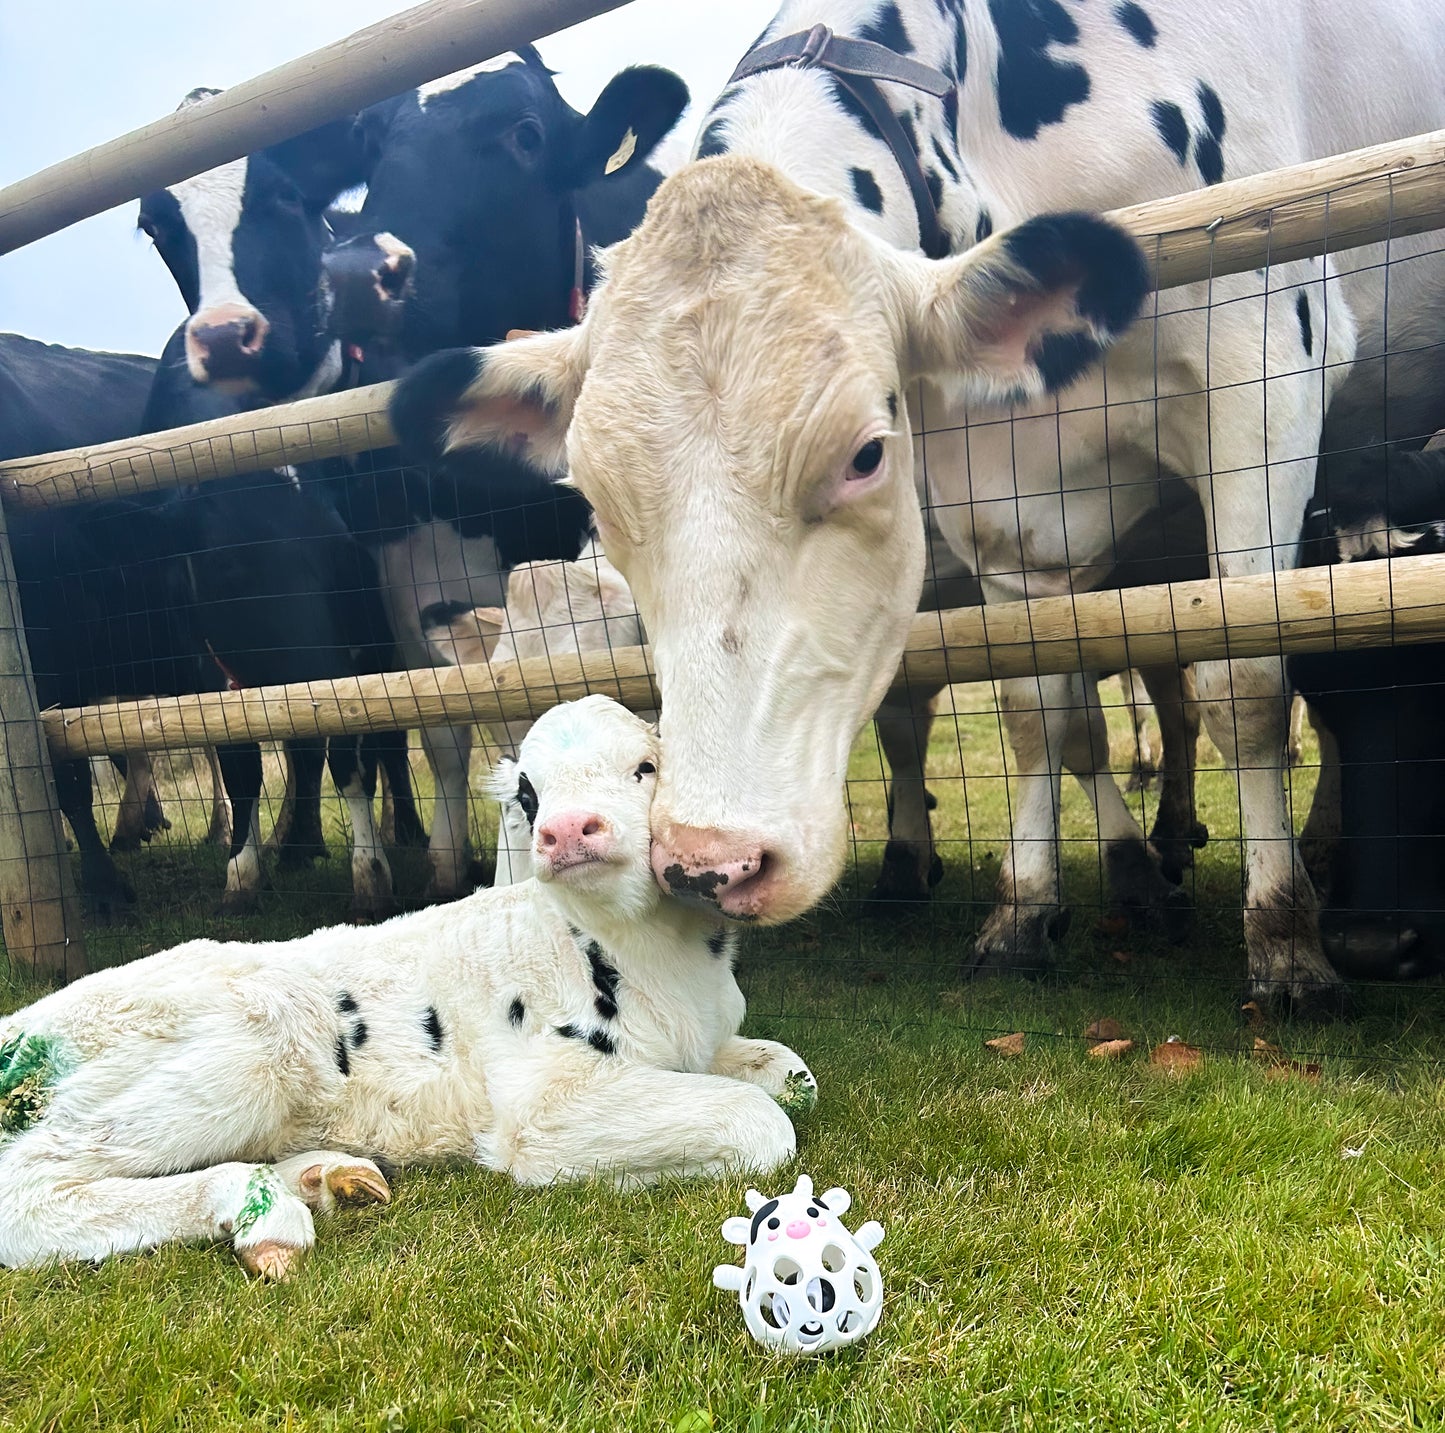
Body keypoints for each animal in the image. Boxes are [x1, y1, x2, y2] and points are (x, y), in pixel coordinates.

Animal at [0, 696, 813, 1278]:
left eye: (645, 766)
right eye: (528, 791)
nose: (565, 830)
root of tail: (23, 1025)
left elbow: (789, 1073)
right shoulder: (544, 1101)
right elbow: (761, 1123)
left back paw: (327, 1178)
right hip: (223, 1059)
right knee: (24, 1192)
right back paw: (260, 1211)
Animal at [391, 0, 1445, 1008]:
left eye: (866, 454)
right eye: (600, 500)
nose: (709, 860)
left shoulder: (1263, 375)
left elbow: (1247, 682)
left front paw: (1284, 947)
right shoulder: (1002, 502)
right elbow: (1038, 711)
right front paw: (1023, 912)